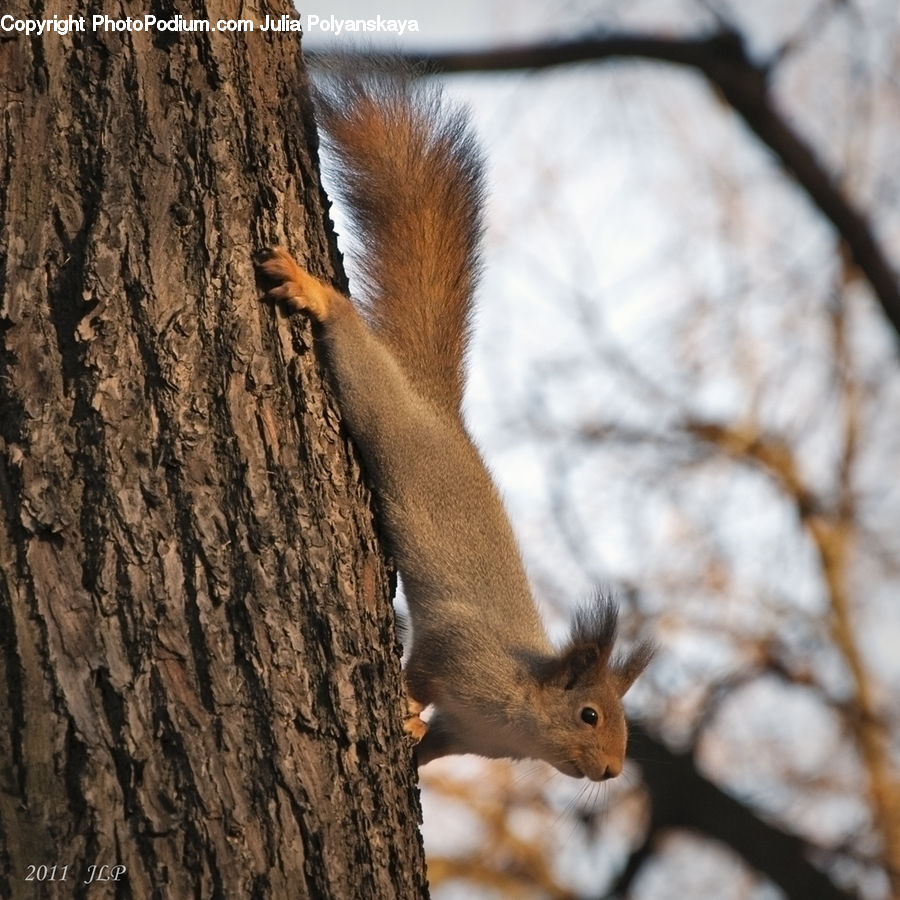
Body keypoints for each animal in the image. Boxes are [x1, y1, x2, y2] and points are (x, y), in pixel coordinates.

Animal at [257, 68, 653, 782]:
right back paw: (317, 294)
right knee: (363, 370)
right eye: (589, 715)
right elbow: (422, 670)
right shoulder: (460, 651)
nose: (611, 770)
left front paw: (413, 744)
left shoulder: (468, 734)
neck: (519, 710)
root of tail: (439, 412)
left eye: (625, 727)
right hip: (390, 423)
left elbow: (434, 743)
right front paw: (403, 706)